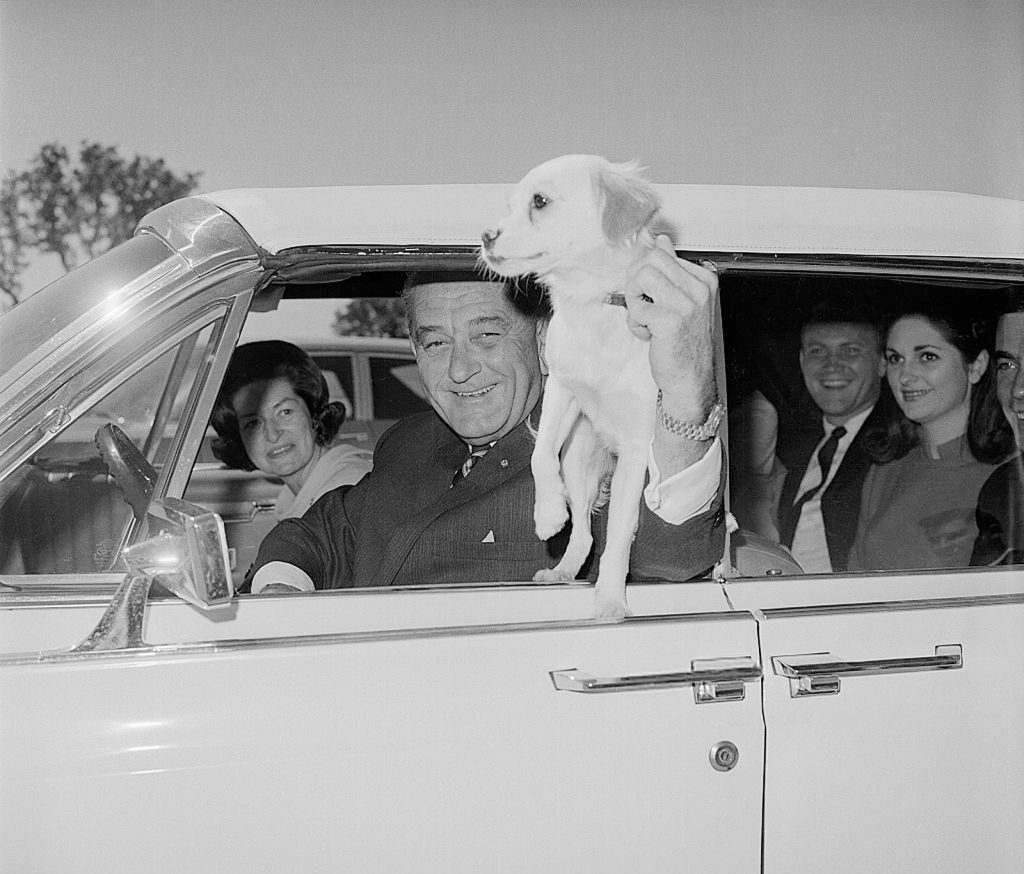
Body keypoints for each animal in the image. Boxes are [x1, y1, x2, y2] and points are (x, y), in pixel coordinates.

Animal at [481, 153, 663, 618]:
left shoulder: (637, 450)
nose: (485, 236)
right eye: (509, 206)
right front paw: (547, 513)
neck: (592, 303)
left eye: (540, 202)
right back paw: (562, 569)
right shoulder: (562, 390)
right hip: (579, 460)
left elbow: (618, 540)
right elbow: (539, 455)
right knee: (582, 530)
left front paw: (612, 599)